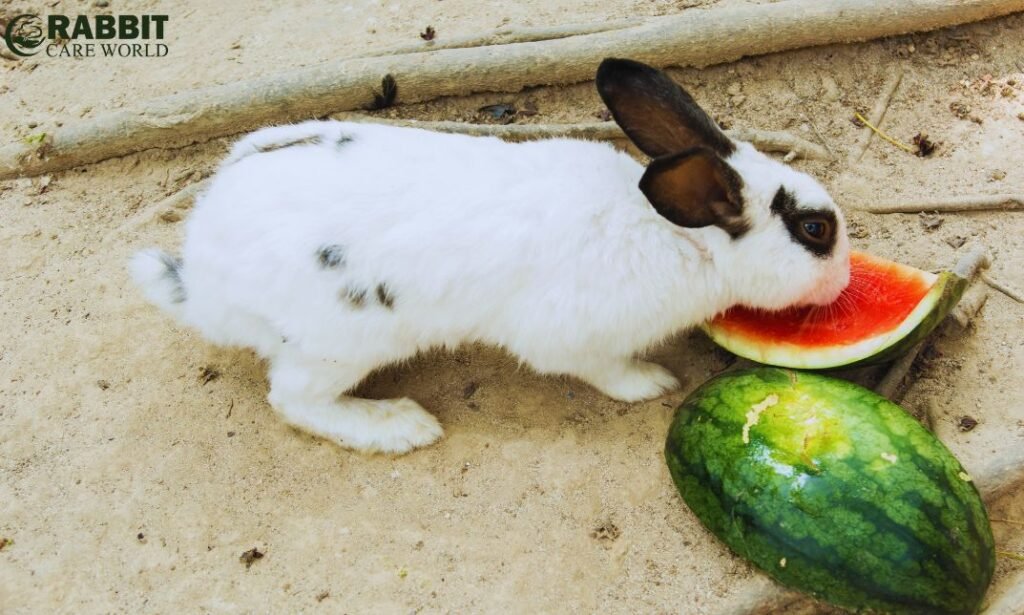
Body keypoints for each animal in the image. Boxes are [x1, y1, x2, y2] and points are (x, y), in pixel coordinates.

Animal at [132, 58, 851, 450]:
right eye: (816, 230)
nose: (846, 280)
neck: (677, 234)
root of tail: (201, 279)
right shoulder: (572, 339)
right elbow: (606, 371)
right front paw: (652, 382)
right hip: (340, 344)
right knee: (293, 400)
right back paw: (398, 426)